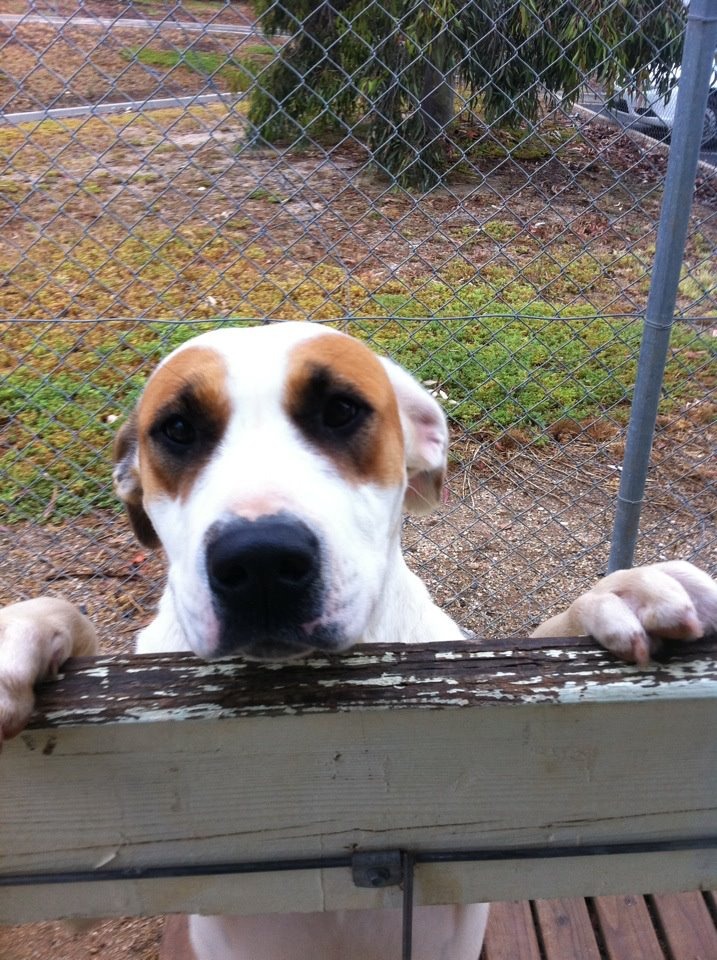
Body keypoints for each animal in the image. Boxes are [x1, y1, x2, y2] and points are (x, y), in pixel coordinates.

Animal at [1, 321, 716, 960]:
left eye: (341, 411)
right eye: (177, 429)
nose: (260, 559)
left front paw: (623, 594)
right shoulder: (94, 882)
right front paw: (23, 629)